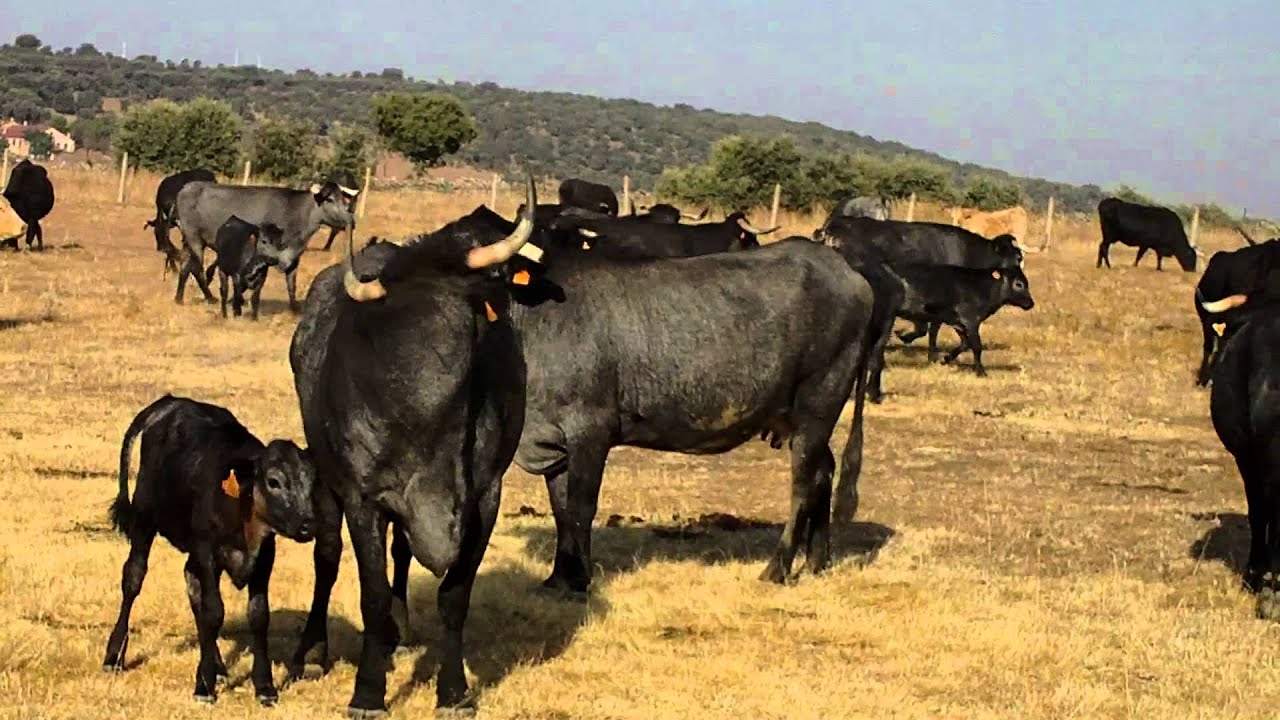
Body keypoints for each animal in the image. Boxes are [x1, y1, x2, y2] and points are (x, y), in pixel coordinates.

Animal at [102, 394, 316, 706]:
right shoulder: (207, 553)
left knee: (192, 586)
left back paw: (217, 665)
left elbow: (258, 616)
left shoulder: (264, 558)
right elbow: (214, 611)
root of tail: (169, 402)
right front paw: (204, 686)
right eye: (273, 481)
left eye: (312, 482)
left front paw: (264, 686)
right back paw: (114, 655)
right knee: (133, 577)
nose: (308, 525)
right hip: (144, 516)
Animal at [173, 180, 356, 311]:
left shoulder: (295, 256)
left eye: (343, 199)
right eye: (330, 199)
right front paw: (236, 301)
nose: (351, 220)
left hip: (189, 241)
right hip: (194, 238)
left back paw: (179, 298)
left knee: (185, 266)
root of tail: (187, 187)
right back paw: (210, 297)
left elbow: (291, 282)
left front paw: (295, 308)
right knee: (196, 268)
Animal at [285, 179, 542, 717]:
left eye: (465, 303)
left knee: (401, 552)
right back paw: (313, 649)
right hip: (326, 478)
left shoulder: (485, 499)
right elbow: (373, 594)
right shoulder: (363, 500)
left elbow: (454, 595)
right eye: (406, 318)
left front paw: (454, 690)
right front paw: (368, 692)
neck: (429, 424)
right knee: (327, 555)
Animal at [887, 263, 1035, 376]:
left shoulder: (958, 323)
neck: (982, 288)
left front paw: (945, 359)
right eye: (1018, 284)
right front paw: (981, 372)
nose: (1030, 303)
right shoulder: (971, 321)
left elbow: (965, 344)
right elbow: (976, 345)